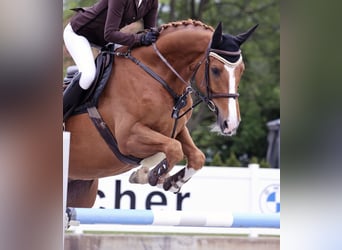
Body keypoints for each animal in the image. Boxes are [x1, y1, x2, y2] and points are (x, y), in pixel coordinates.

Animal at [65, 19, 256, 207]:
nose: (231, 124)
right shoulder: (128, 137)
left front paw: (171, 182)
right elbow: (174, 149)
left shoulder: (177, 129)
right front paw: (150, 176)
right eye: (215, 70)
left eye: (242, 70)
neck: (157, 75)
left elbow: (197, 157)